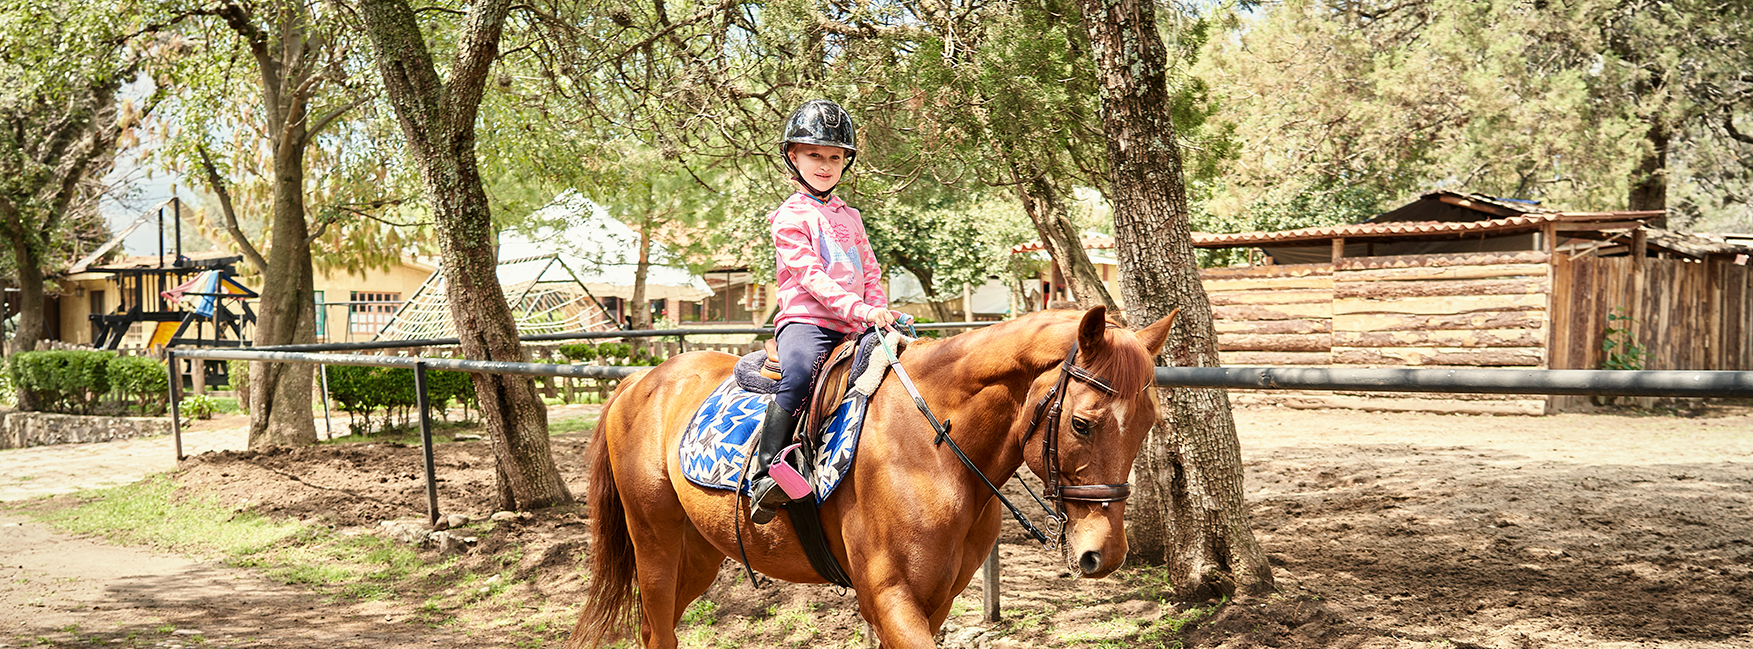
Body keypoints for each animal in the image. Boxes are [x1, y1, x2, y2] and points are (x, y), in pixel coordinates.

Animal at [574, 306, 1171, 645]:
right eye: (1082, 423)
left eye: (1150, 423)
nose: (1104, 554)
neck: (933, 451)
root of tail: (636, 382)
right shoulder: (890, 597)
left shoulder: (934, 602)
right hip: (654, 545)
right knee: (657, 628)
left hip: (697, 554)